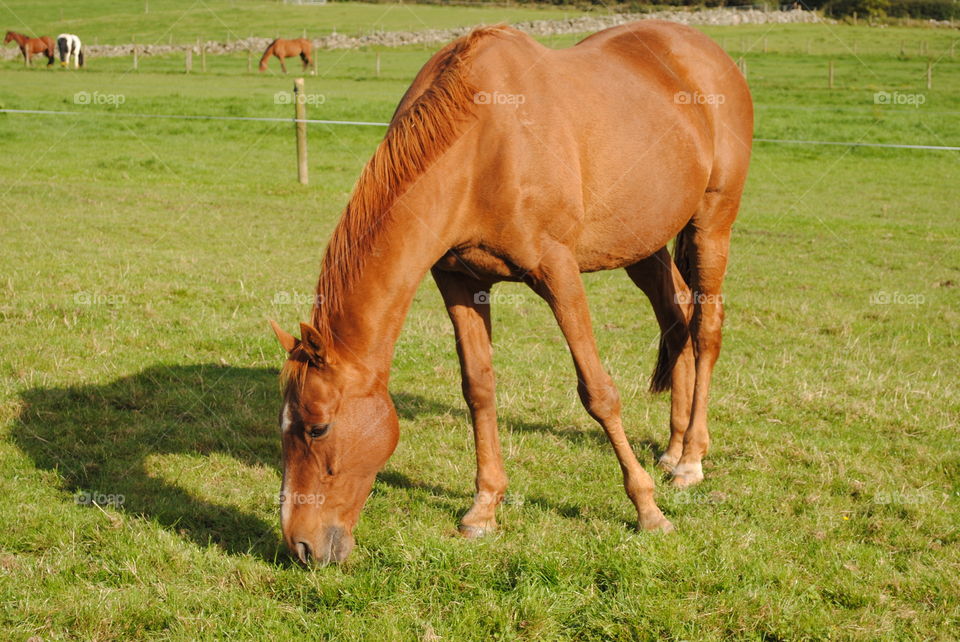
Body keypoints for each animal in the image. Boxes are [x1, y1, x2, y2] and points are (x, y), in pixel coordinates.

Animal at [269, 21, 753, 565]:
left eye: (317, 427)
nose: (301, 545)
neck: (485, 145)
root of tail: (705, 52)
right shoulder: (460, 282)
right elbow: (478, 389)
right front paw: (484, 510)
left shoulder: (558, 272)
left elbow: (598, 393)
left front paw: (647, 510)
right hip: (643, 245)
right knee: (676, 318)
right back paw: (672, 449)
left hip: (711, 223)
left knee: (705, 328)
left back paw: (691, 460)